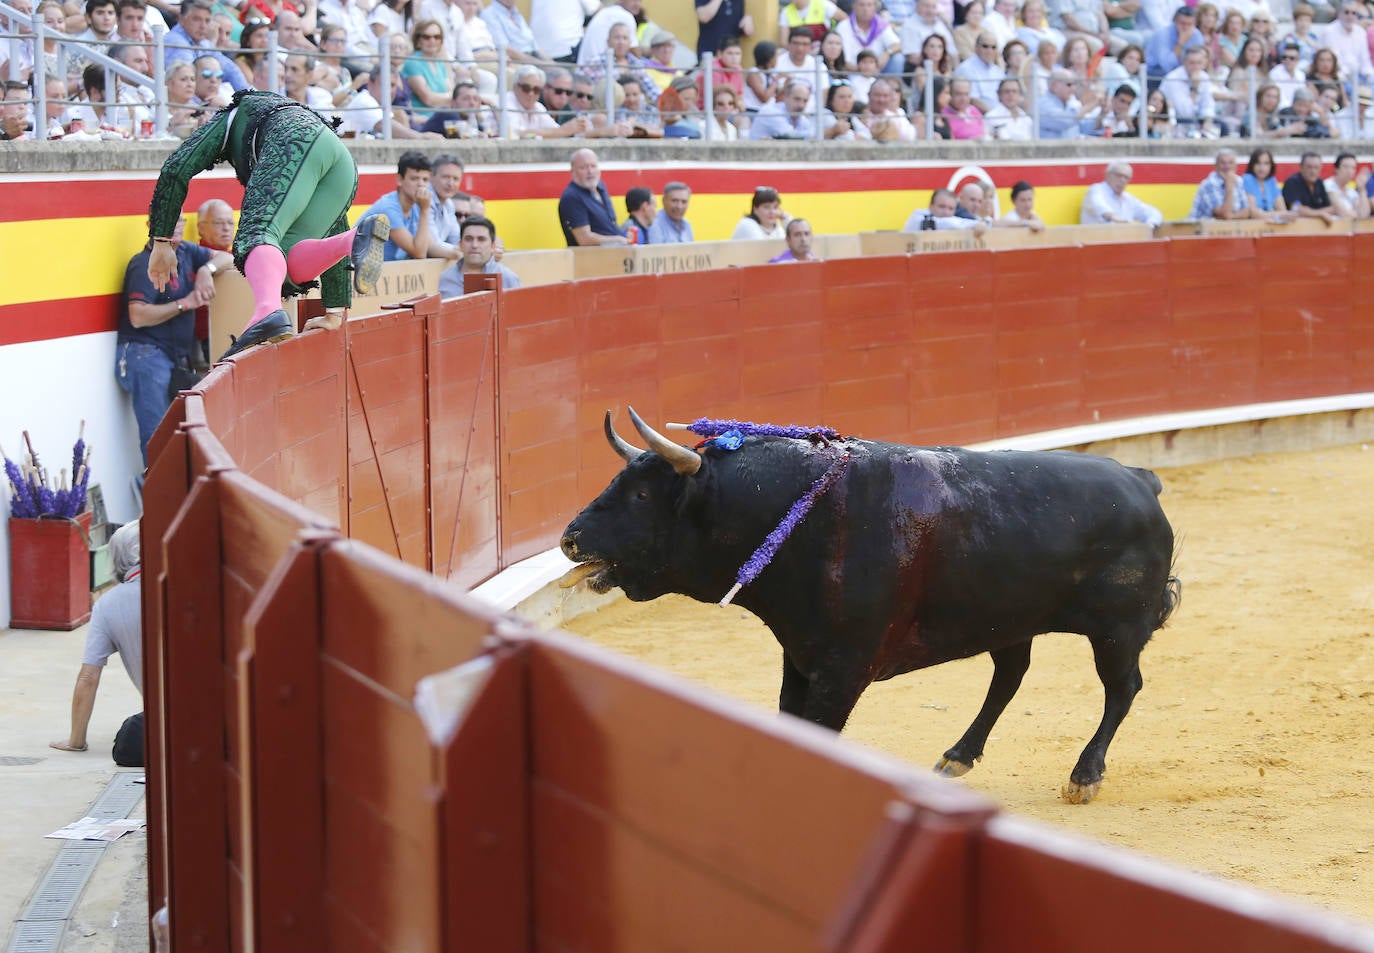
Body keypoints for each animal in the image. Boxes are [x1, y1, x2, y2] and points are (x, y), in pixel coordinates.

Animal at [560, 411, 1181, 807]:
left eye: (643, 495)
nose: (569, 540)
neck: (797, 517)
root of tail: (1140, 480)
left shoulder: (844, 668)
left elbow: (818, 731)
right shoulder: (800, 655)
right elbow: (792, 725)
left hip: (1118, 630)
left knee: (1121, 688)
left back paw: (1084, 776)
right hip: (1009, 619)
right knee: (1010, 675)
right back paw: (959, 755)